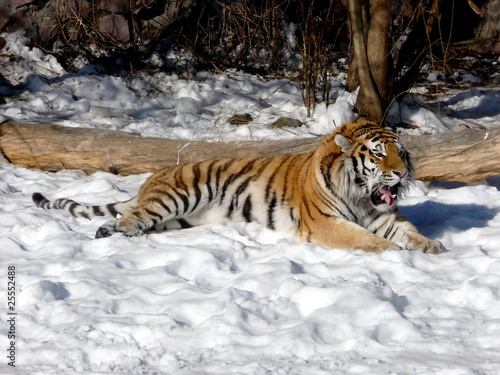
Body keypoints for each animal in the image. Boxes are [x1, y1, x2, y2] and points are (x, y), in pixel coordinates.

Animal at [31, 119, 444, 256]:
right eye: (377, 155)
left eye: (401, 153)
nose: (402, 173)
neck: (362, 196)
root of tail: (152, 178)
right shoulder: (326, 222)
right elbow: (364, 239)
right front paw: (390, 252)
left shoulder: (385, 216)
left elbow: (409, 231)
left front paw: (431, 246)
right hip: (176, 197)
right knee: (131, 216)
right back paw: (109, 232)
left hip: (178, 218)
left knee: (136, 219)